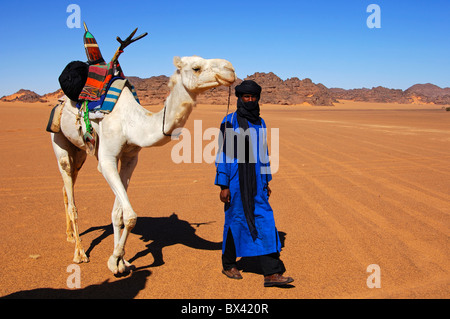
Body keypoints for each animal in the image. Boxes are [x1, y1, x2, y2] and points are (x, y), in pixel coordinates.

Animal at [50, 55, 236, 276]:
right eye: (196, 68)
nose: (230, 69)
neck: (133, 124)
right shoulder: (107, 159)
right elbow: (130, 215)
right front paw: (114, 259)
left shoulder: (130, 158)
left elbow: (118, 214)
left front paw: (121, 262)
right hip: (59, 139)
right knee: (70, 192)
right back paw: (79, 252)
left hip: (79, 151)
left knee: (66, 186)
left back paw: (70, 235)